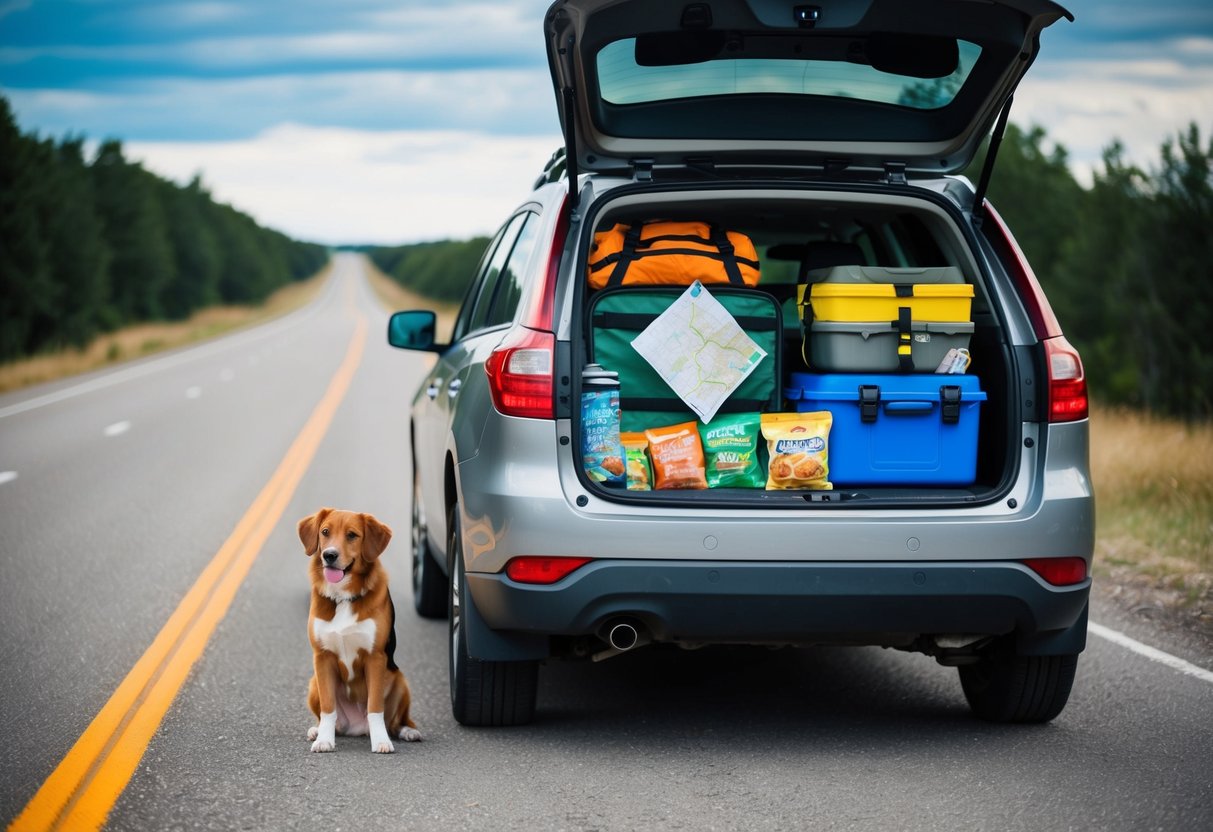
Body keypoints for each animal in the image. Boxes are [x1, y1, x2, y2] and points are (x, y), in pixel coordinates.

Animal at [298, 509, 422, 756]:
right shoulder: (322, 657)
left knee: (395, 722)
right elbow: (328, 708)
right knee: (331, 719)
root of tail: (357, 727)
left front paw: (381, 741)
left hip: (400, 680)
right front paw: (324, 740)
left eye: (352, 535)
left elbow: (375, 707)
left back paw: (407, 731)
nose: (329, 555)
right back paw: (318, 730)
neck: (343, 597)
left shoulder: (375, 657)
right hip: (313, 683)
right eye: (325, 532)